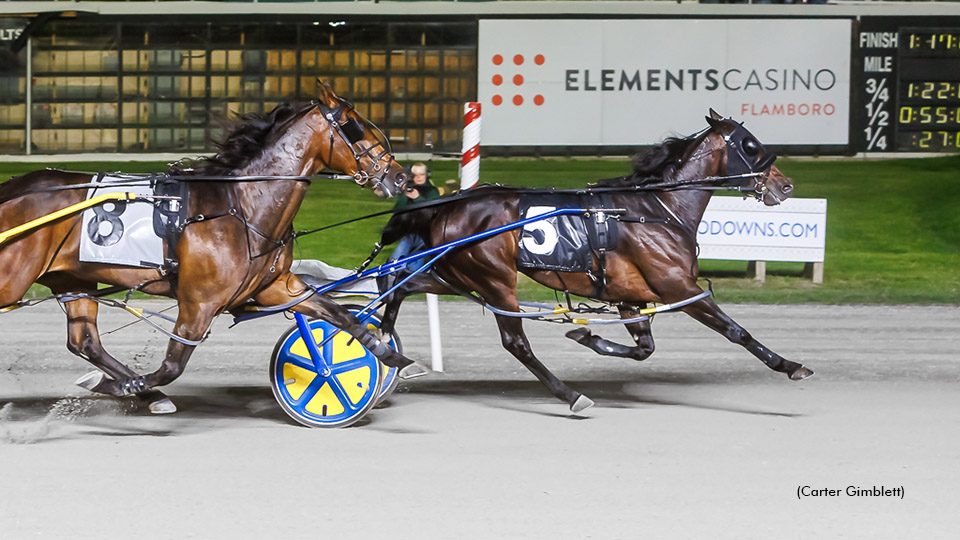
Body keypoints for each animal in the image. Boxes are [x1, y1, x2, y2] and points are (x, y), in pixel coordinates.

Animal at [0, 79, 414, 414]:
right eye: (354, 127)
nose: (400, 177)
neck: (240, 204)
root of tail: (11, 190)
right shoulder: (199, 301)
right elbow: (172, 365)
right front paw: (128, 386)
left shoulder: (278, 286)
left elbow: (342, 316)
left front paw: (389, 354)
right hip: (13, 279)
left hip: (72, 278)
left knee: (84, 342)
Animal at [378, 109, 812, 414]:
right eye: (750, 145)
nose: (785, 184)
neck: (656, 209)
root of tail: (447, 206)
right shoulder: (679, 287)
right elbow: (736, 331)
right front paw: (790, 365)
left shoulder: (630, 296)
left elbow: (644, 348)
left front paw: (588, 337)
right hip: (494, 280)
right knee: (515, 342)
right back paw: (570, 395)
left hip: (456, 273)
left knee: (399, 284)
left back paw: (387, 343)